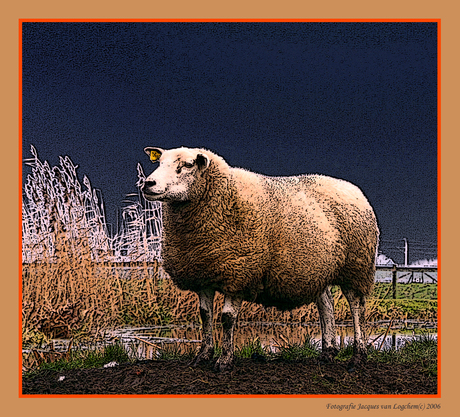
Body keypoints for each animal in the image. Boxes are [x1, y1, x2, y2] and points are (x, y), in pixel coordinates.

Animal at [142, 147, 380, 370]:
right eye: (159, 162)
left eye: (188, 165)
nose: (148, 183)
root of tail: (354, 190)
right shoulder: (203, 273)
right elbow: (205, 315)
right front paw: (203, 355)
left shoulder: (239, 272)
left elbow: (227, 318)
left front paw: (224, 360)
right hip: (318, 268)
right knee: (326, 306)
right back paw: (328, 353)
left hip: (356, 266)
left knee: (356, 307)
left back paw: (358, 356)